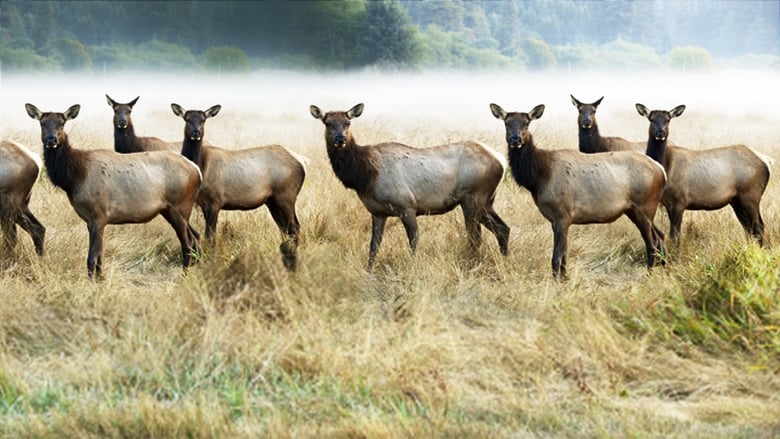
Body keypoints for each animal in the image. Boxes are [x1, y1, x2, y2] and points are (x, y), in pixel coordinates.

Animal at [26, 103, 202, 279]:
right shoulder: (93, 220)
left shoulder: (98, 215)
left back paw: (184, 275)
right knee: (195, 238)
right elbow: (100, 256)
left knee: (188, 243)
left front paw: (92, 281)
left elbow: (92, 258)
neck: (74, 178)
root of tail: (197, 170)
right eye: (42, 123)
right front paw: (100, 279)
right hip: (169, 210)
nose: (51, 139)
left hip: (180, 206)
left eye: (62, 124)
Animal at [170, 103, 306, 271]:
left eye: (203, 119)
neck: (200, 167)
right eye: (187, 119)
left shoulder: (215, 201)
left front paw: (212, 261)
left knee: (294, 228)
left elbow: (211, 236)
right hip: (273, 201)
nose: (196, 133)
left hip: (286, 196)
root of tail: (302, 162)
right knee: (287, 229)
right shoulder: (203, 203)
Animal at [310, 103, 510, 269]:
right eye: (327, 123)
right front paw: (369, 271)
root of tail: (500, 160)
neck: (364, 176)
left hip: (473, 196)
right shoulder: (377, 212)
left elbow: (413, 241)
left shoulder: (407, 205)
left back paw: (473, 263)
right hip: (486, 200)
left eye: (347, 122)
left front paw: (412, 266)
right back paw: (504, 259)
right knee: (502, 229)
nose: (340, 139)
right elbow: (373, 246)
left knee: (475, 235)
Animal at [490, 103, 667, 279]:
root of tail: (661, 170)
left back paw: (649, 274)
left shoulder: (562, 214)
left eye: (526, 123)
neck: (539, 178)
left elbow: (556, 257)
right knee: (659, 236)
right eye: (507, 123)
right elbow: (564, 255)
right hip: (634, 210)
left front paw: (557, 281)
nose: (515, 139)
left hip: (645, 206)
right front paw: (565, 279)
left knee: (652, 242)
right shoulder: (557, 219)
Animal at [636, 103, 773, 245]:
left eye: (668, 120)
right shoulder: (668, 203)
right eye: (651, 119)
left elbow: (675, 235)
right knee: (749, 228)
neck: (665, 168)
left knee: (758, 226)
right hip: (737, 200)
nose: (660, 133)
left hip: (751, 195)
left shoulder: (680, 200)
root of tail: (767, 161)